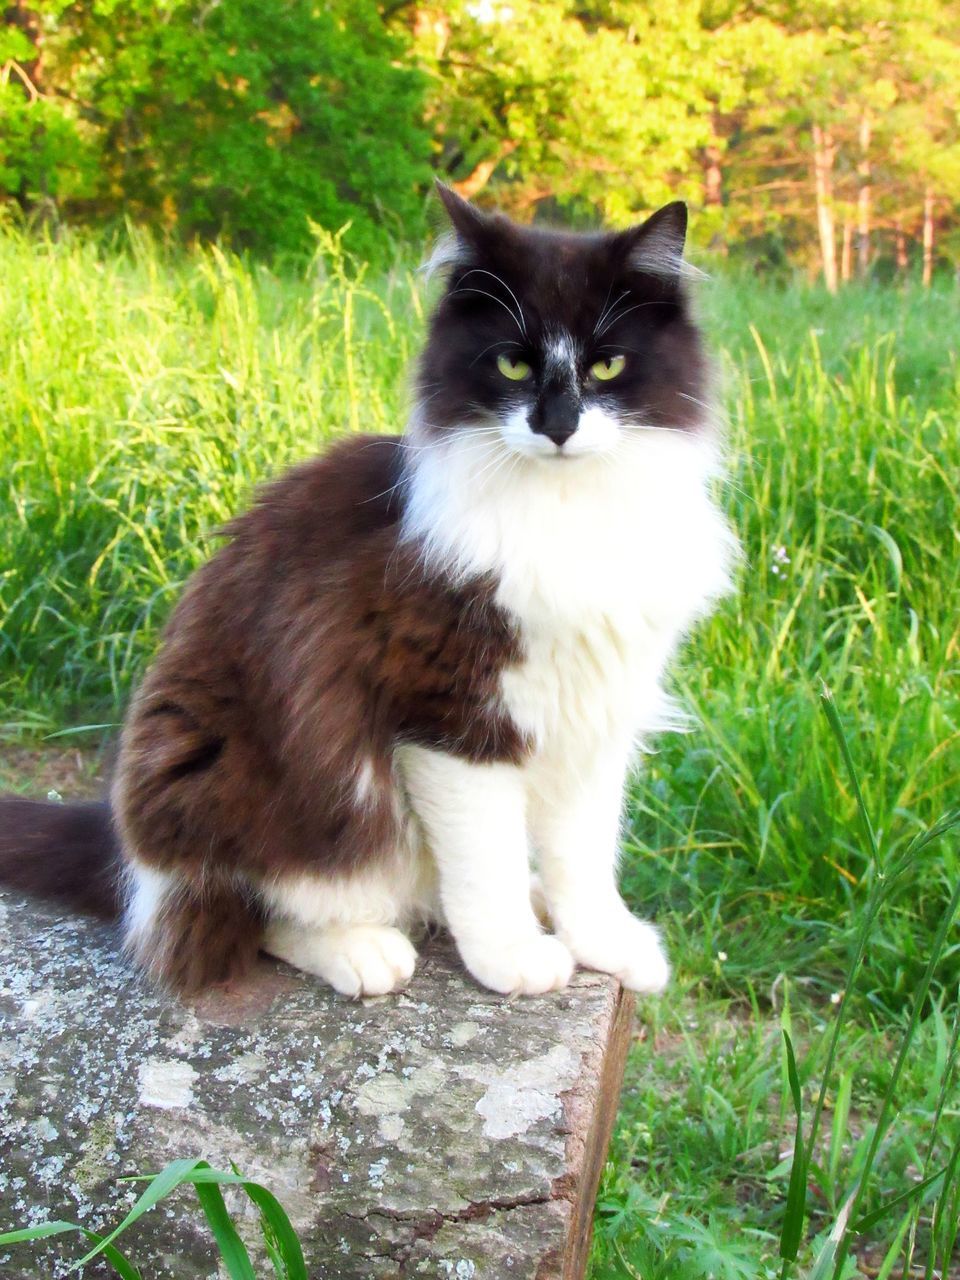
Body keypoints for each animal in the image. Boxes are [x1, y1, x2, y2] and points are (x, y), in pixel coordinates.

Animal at [0, 183, 737, 998]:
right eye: (513, 365)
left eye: (607, 366)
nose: (558, 426)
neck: (566, 513)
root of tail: (130, 860)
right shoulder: (450, 714)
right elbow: (484, 861)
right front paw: (512, 957)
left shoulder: (593, 709)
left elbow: (585, 853)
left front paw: (602, 942)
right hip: (251, 796)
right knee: (240, 919)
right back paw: (363, 950)